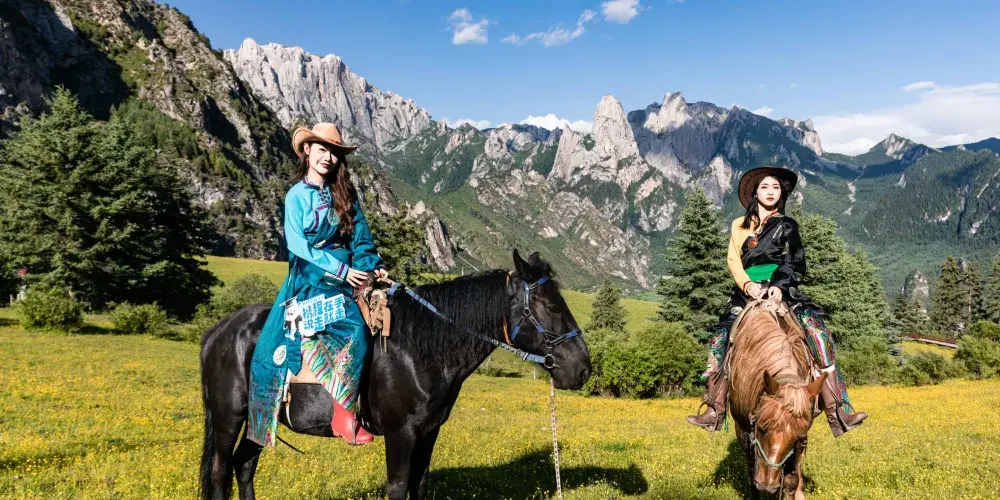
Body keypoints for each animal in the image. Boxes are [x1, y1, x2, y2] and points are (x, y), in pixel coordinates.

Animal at [199, 250, 592, 500]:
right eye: (552, 306)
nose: (583, 369)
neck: (420, 350)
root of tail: (220, 329)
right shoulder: (400, 434)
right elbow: (399, 488)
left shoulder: (428, 432)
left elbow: (419, 487)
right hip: (228, 417)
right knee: (220, 472)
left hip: (260, 417)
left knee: (243, 466)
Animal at [726, 298, 828, 499]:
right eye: (762, 428)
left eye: (798, 436)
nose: (767, 485)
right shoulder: (743, 429)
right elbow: (751, 476)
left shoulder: (800, 441)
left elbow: (791, 479)